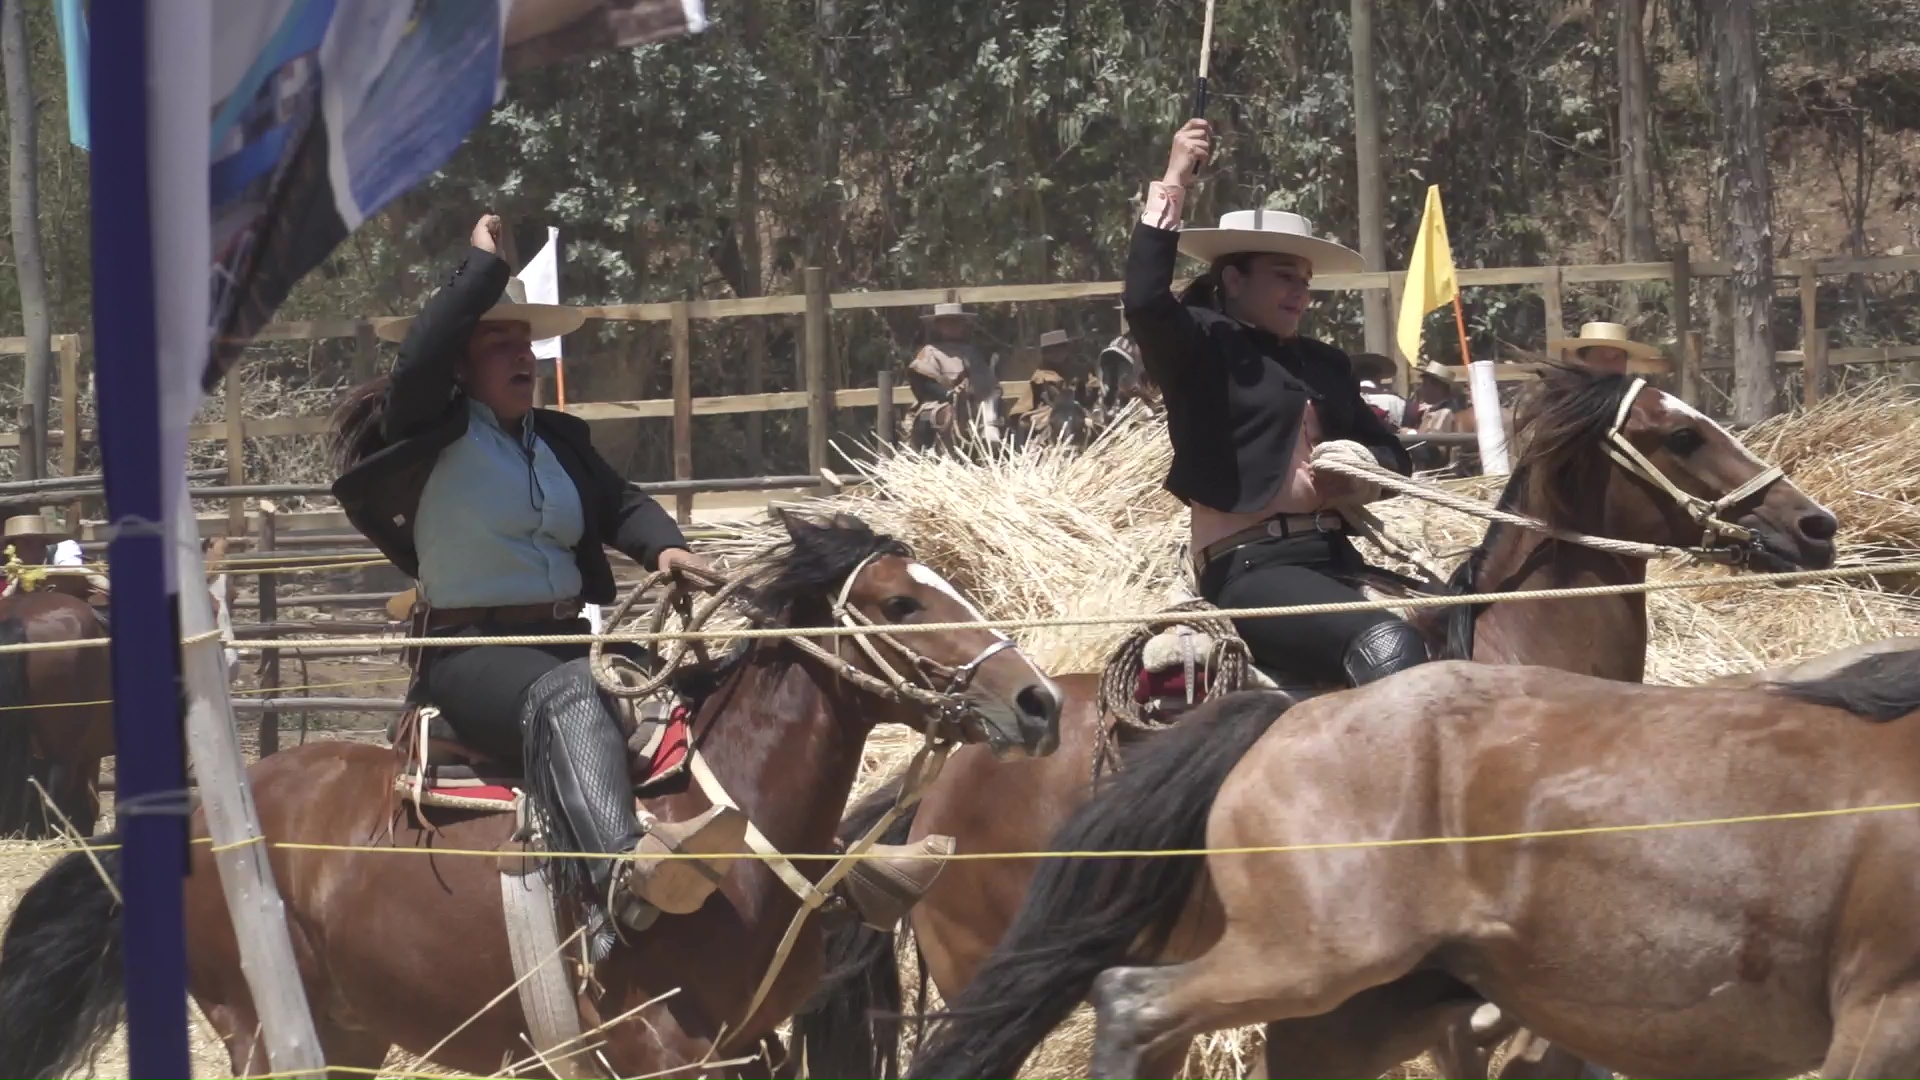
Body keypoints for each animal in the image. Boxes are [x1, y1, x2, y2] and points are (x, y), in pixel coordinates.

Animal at [0, 511, 1067, 1076]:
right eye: (900, 602)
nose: (1039, 700)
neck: (727, 828)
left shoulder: (750, 1046)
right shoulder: (661, 1047)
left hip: (345, 1030)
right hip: (260, 1027)